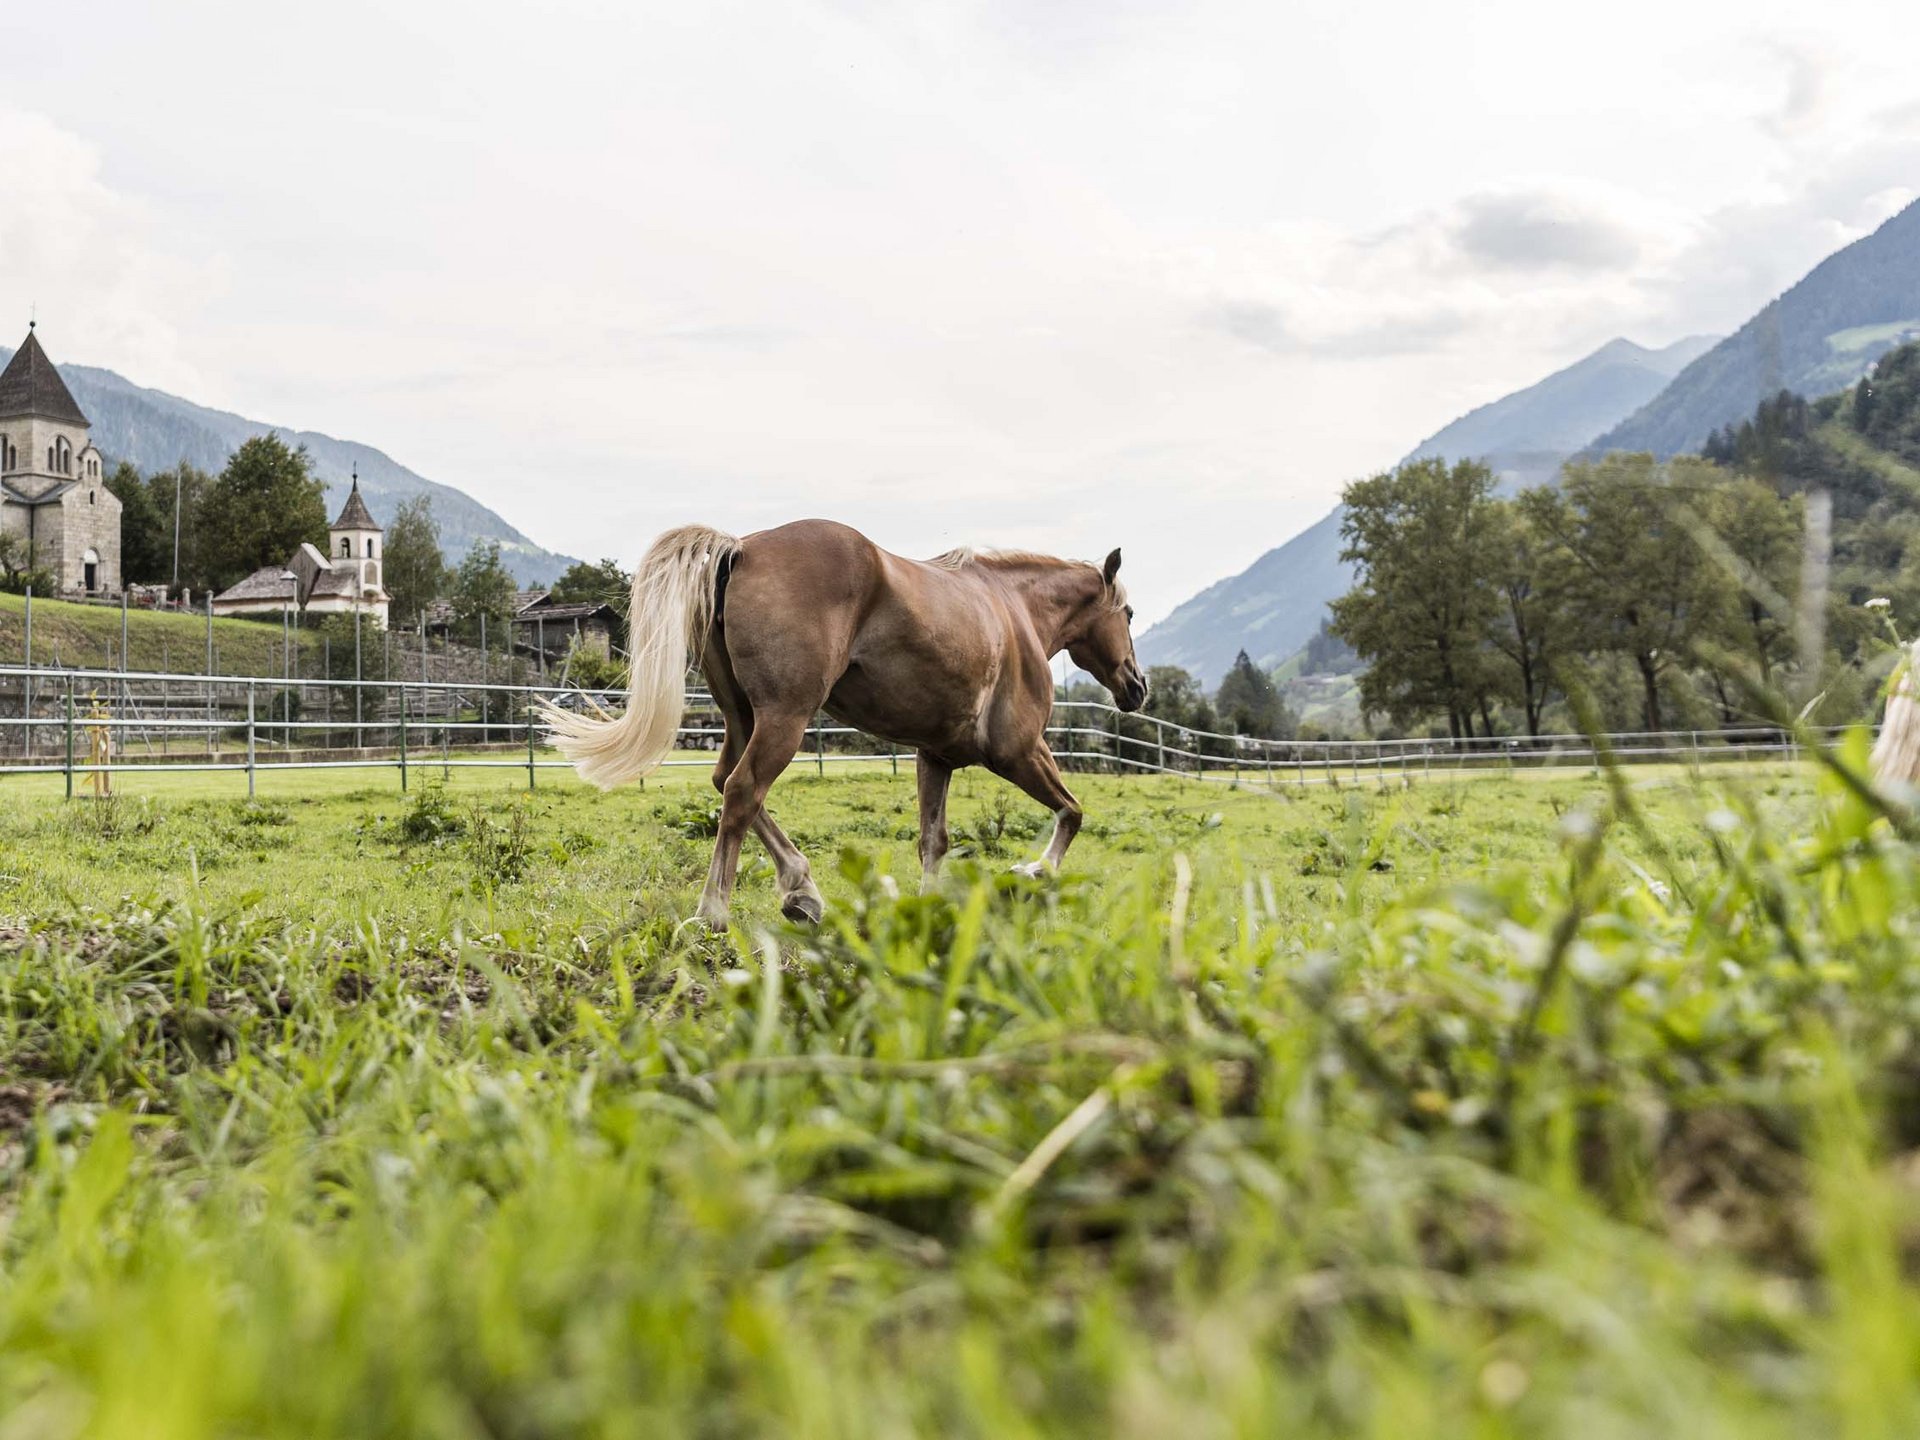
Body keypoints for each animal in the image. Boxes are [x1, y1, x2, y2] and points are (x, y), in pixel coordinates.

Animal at [533, 526, 1144, 929]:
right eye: (1131, 614)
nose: (1138, 687)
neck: (1011, 611)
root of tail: (740, 548)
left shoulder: (935, 757)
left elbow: (934, 841)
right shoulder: (1019, 751)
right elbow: (1072, 812)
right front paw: (1032, 872)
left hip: (743, 717)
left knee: (727, 782)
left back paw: (802, 892)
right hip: (786, 717)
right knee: (742, 791)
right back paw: (714, 914)